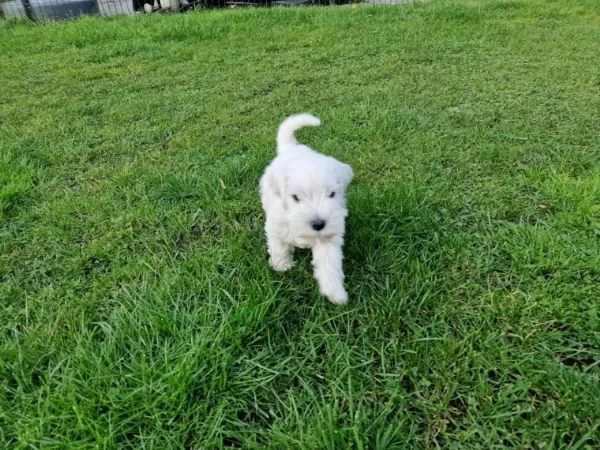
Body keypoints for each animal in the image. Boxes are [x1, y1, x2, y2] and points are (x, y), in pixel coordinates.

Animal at [260, 113, 354, 306]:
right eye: (296, 197)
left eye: (332, 194)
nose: (318, 224)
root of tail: (291, 148)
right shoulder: (276, 227)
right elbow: (279, 246)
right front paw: (282, 265)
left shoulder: (328, 237)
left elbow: (329, 263)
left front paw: (335, 293)